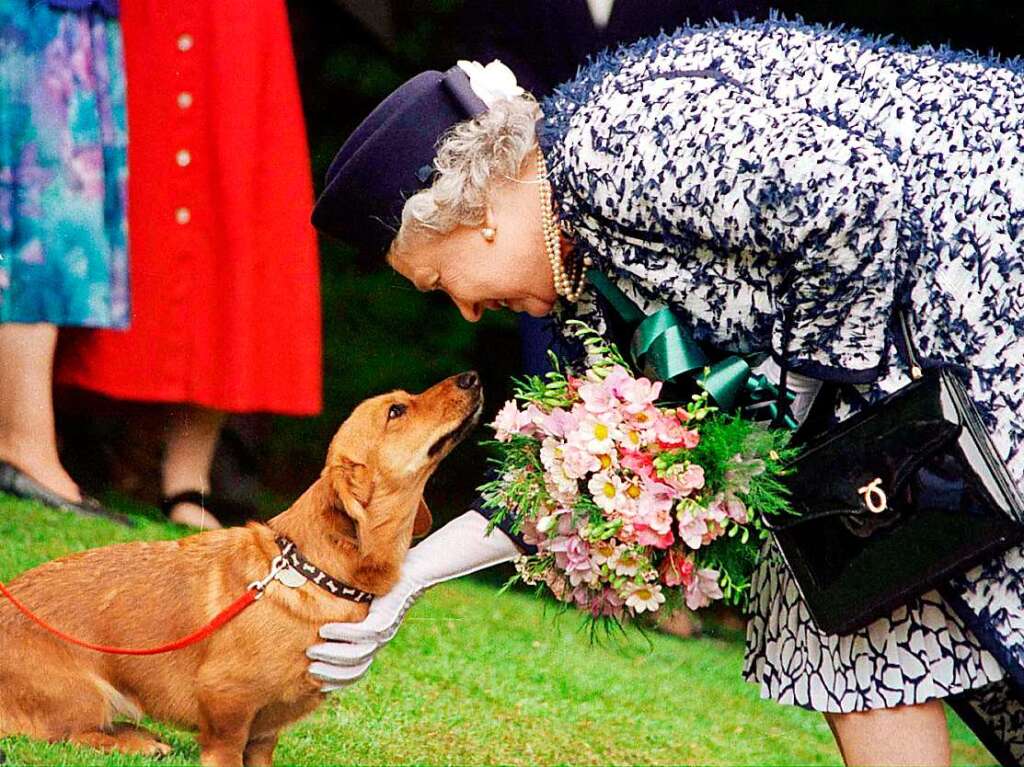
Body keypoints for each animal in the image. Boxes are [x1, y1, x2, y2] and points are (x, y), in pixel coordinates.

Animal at [0, 368, 483, 761]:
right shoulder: (227, 705)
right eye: (396, 410)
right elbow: (225, 747)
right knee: (70, 734)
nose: (472, 377)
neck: (310, 570)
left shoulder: (266, 732)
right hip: (86, 694)